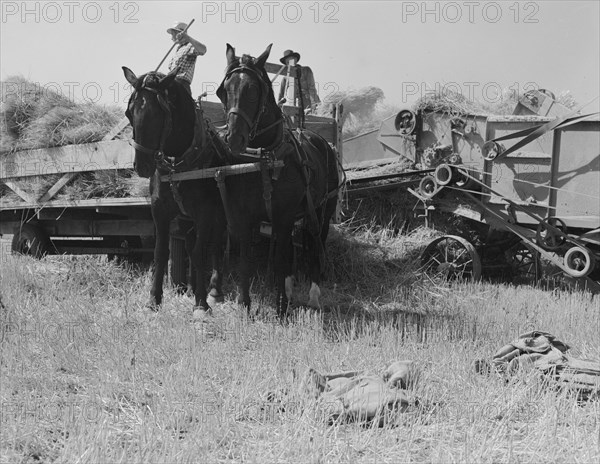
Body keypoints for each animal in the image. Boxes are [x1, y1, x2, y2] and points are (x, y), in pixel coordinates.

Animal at [120, 67, 229, 314]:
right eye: (129, 113)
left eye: (157, 114)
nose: (142, 166)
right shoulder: (159, 210)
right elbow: (161, 252)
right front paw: (154, 299)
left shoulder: (205, 212)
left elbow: (200, 252)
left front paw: (201, 303)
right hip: (186, 219)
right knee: (190, 245)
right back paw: (191, 288)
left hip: (219, 215)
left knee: (215, 247)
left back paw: (213, 291)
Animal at [217, 44, 340, 316]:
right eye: (223, 91)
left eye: (254, 90)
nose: (233, 138)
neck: (263, 160)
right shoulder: (246, 217)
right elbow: (247, 260)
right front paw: (245, 304)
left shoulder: (283, 215)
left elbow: (281, 260)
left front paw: (281, 307)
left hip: (323, 210)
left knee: (315, 244)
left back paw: (313, 295)